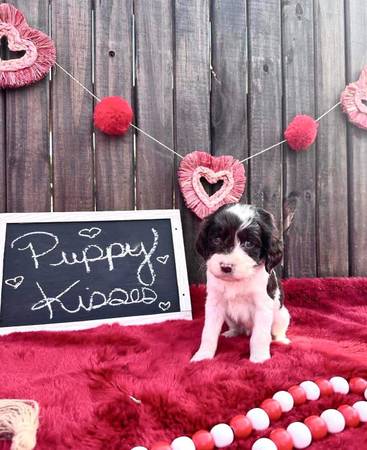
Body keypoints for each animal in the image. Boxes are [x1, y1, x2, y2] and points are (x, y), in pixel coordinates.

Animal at [193, 202, 290, 364]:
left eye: (249, 243)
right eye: (216, 239)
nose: (226, 267)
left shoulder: (262, 306)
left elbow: (259, 336)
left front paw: (259, 359)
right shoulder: (214, 303)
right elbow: (208, 332)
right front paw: (203, 356)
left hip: (282, 315)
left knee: (277, 331)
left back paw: (281, 340)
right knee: (237, 328)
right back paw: (232, 332)